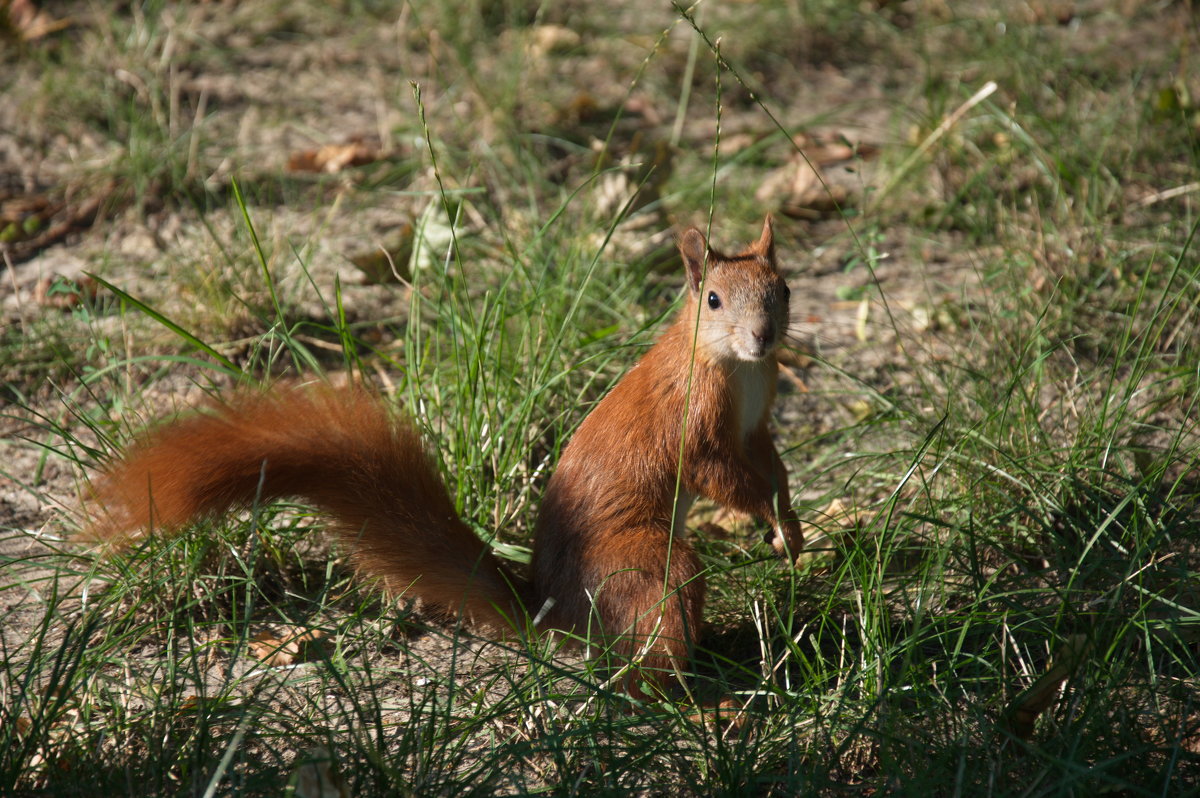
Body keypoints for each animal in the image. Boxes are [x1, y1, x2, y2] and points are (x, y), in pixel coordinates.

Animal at [88, 214, 801, 696]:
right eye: (712, 299)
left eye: (785, 290)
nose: (764, 337)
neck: (735, 366)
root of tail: (556, 615)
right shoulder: (696, 427)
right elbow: (723, 476)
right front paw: (769, 518)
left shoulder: (756, 425)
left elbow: (772, 467)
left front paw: (790, 528)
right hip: (644, 566)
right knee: (644, 655)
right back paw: (695, 701)